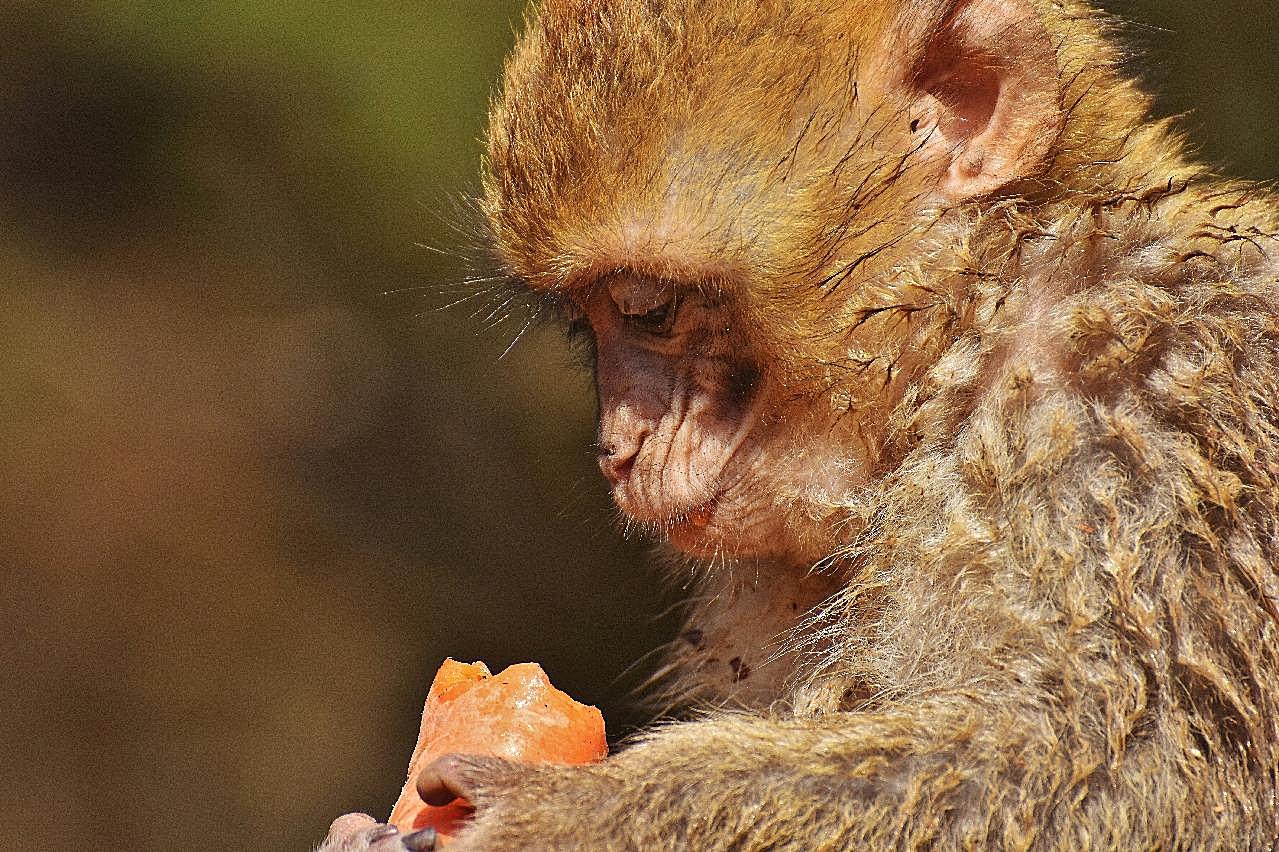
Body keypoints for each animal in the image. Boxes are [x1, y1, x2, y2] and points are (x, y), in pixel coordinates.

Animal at [319, 0, 1279, 844]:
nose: (616, 450)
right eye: (584, 326)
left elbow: (1132, 773)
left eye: (648, 309)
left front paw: (558, 818)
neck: (970, 338)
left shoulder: (1141, 403)